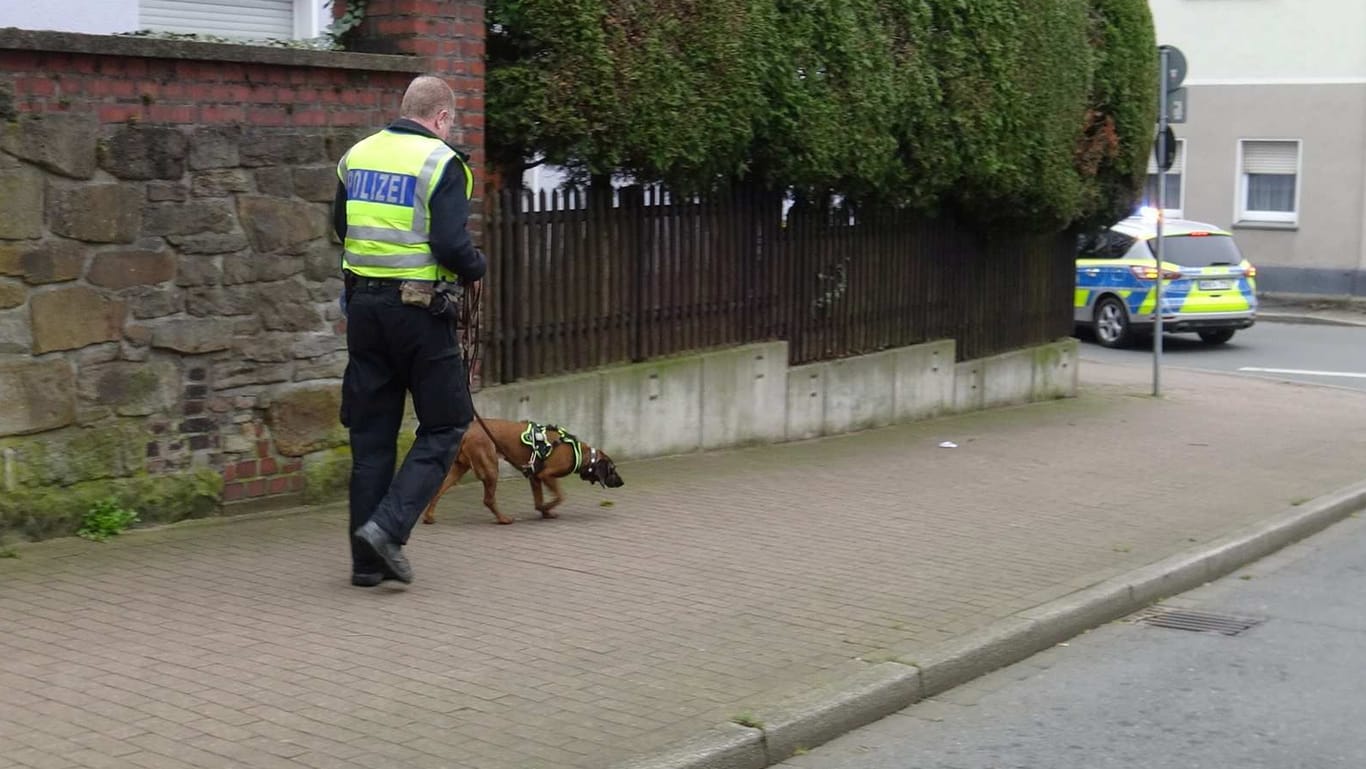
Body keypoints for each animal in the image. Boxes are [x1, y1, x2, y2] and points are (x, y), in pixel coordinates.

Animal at [417, 417, 625, 527]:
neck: (579, 452)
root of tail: (468, 432)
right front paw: (547, 508)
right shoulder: (546, 475)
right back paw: (503, 519)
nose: (622, 483)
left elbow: (539, 500)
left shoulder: (535, 477)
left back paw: (429, 517)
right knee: (488, 499)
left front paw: (544, 512)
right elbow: (559, 496)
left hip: (458, 469)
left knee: (437, 490)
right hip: (491, 468)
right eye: (613, 469)